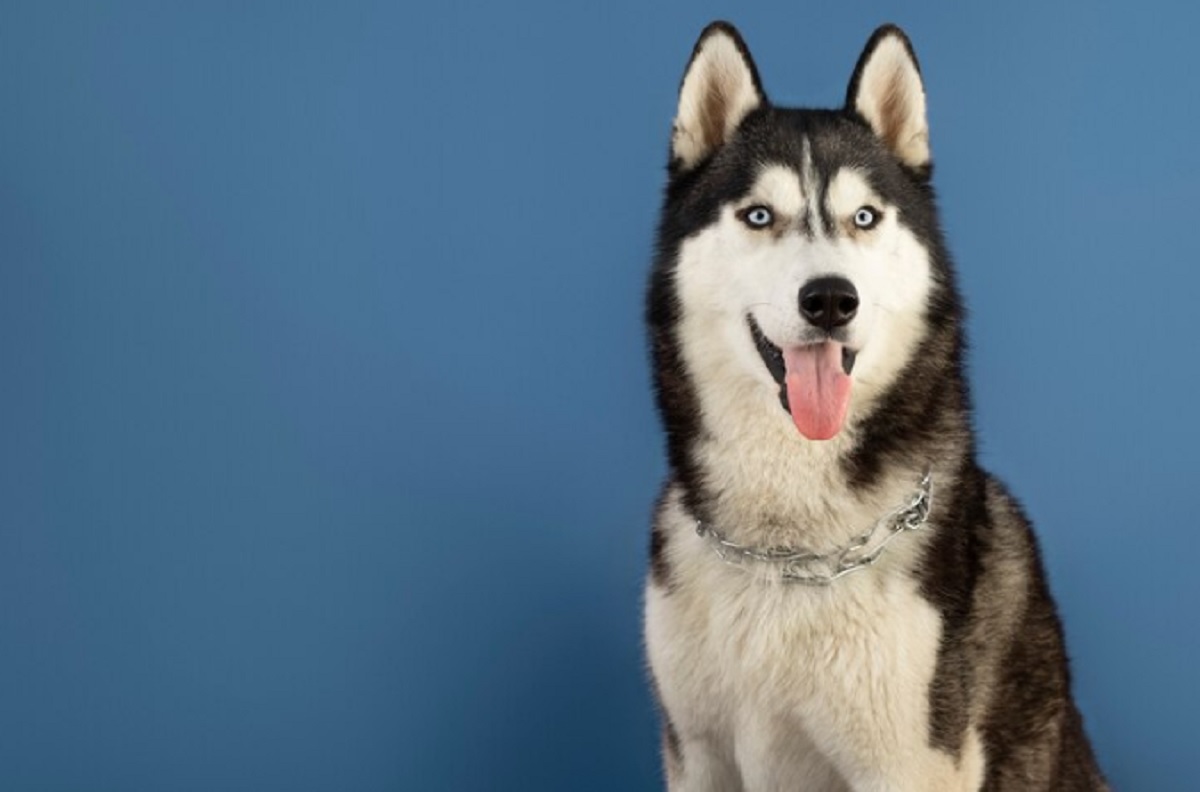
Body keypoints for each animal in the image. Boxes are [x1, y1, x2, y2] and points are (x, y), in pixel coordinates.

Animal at [648, 21, 1104, 787]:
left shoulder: (908, 762)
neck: (786, 552)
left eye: (864, 217)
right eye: (759, 215)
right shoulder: (697, 751)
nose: (831, 299)